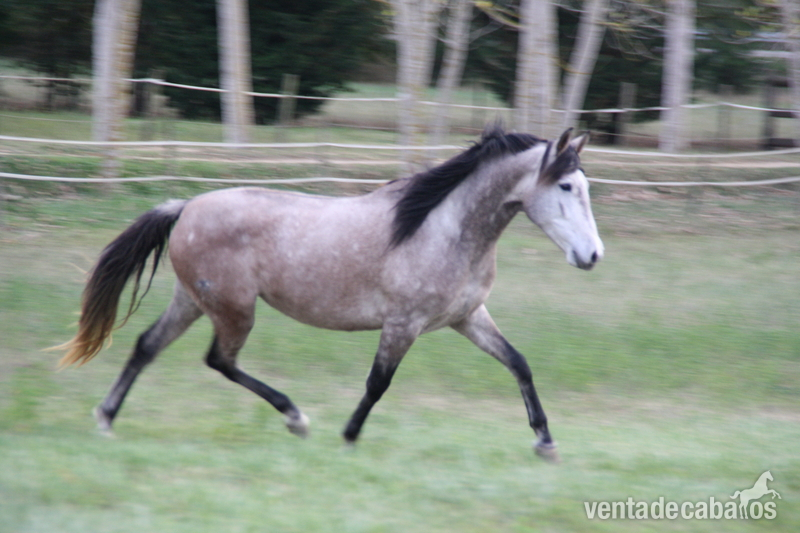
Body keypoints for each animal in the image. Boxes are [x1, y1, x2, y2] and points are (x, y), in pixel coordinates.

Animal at [57, 126, 603, 462]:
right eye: (567, 187)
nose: (593, 256)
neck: (444, 228)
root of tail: (187, 206)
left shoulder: (467, 317)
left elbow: (519, 364)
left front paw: (546, 443)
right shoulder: (403, 324)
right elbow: (377, 384)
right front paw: (348, 438)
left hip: (193, 300)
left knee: (148, 346)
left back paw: (106, 419)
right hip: (234, 309)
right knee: (220, 361)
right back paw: (296, 418)